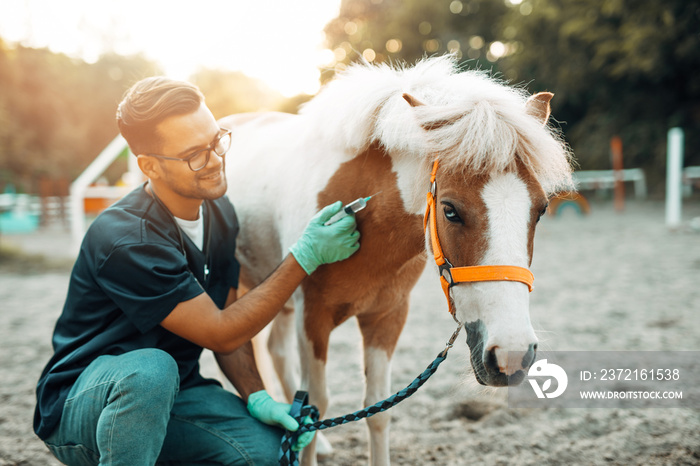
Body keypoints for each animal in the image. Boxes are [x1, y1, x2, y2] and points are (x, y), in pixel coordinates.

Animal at [220, 56, 576, 464]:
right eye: (450, 210)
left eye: (541, 209)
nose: (512, 355)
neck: (365, 217)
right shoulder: (313, 318)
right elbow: (315, 409)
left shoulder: (386, 316)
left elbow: (377, 410)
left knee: (276, 354)